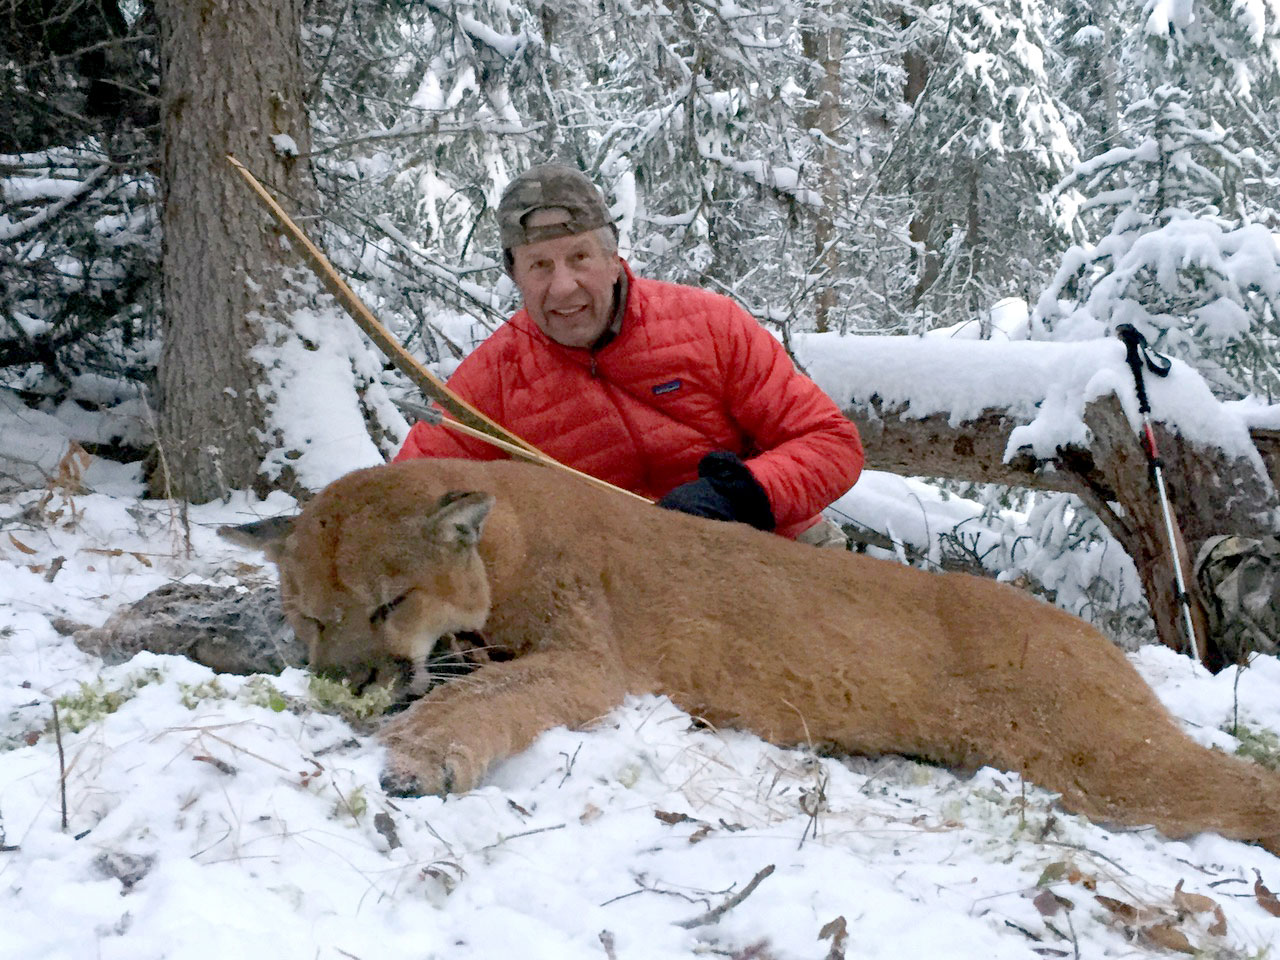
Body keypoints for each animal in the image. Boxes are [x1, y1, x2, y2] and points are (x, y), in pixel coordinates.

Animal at [225, 460, 1280, 855]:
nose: (344, 680)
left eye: (388, 603)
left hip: (1097, 754)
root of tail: (1088, 631)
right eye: (309, 617)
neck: (513, 535)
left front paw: (420, 753)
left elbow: (500, 693)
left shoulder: (589, 660)